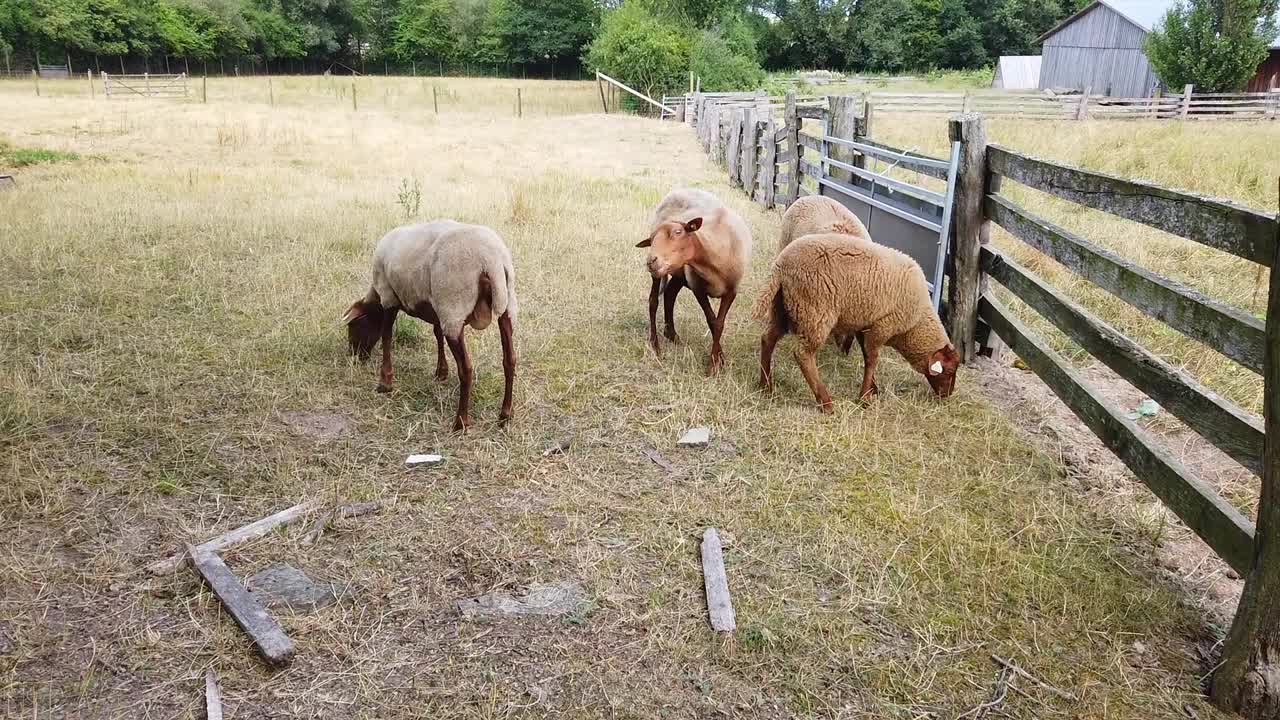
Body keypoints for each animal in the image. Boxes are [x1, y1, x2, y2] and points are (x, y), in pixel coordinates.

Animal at [345, 219, 519, 427]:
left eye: (354, 326)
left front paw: (385, 382)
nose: (353, 355)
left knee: (466, 369)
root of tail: (491, 260)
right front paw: (441, 372)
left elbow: (386, 335)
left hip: (453, 308)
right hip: (505, 304)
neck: (376, 298)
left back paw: (461, 422)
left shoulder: (389, 296)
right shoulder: (437, 308)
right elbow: (437, 335)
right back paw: (505, 414)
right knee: (509, 359)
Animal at [637, 184, 747, 376]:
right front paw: (715, 363)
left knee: (669, 295)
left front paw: (718, 360)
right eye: (651, 239)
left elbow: (719, 324)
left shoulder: (732, 291)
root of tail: (679, 189)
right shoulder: (698, 288)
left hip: (679, 274)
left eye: (678, 232)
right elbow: (712, 321)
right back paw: (656, 345)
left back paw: (672, 335)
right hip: (664, 274)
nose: (651, 260)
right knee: (653, 301)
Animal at [752, 229, 957, 409]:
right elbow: (873, 360)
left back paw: (766, 386)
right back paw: (825, 402)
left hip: (783, 308)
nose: (948, 395)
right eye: (949, 371)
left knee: (768, 339)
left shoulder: (865, 325)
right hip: (815, 312)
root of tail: (781, 265)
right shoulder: (883, 327)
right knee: (803, 355)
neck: (915, 325)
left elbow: (866, 357)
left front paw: (873, 388)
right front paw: (865, 398)